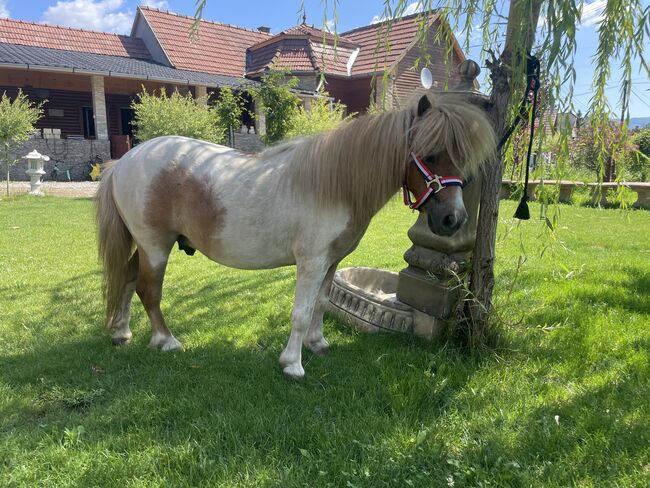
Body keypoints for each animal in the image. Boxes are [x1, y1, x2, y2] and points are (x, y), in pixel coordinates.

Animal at [95, 93, 492, 380]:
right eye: (430, 154)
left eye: (461, 157)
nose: (452, 219)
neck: (336, 185)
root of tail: (124, 161)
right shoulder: (312, 261)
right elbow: (301, 311)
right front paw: (293, 364)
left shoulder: (331, 262)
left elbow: (320, 305)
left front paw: (318, 344)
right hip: (155, 246)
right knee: (148, 291)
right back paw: (166, 341)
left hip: (145, 246)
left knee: (127, 280)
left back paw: (122, 334)